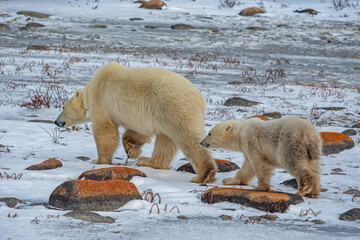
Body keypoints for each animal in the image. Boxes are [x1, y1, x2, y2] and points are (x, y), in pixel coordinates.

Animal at [54, 62, 215, 184]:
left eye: (63, 107)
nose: (56, 121)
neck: (89, 92)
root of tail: (199, 97)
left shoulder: (101, 100)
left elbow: (105, 131)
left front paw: (99, 160)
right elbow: (138, 132)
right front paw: (132, 149)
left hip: (173, 107)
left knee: (188, 139)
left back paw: (204, 174)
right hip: (165, 114)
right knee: (166, 140)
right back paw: (147, 161)